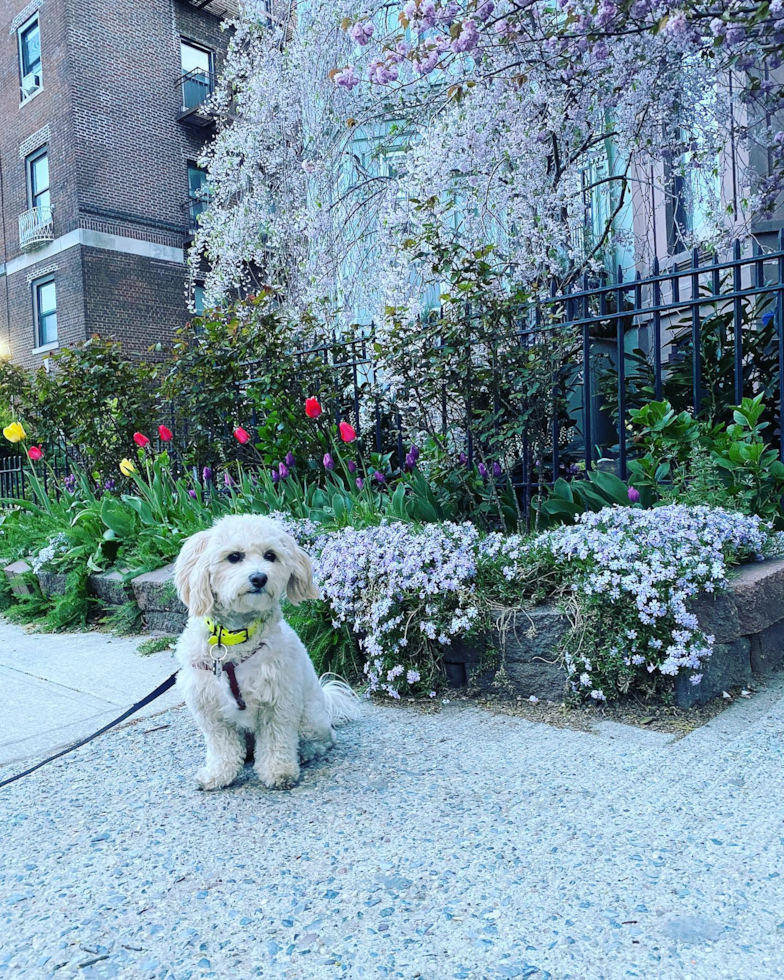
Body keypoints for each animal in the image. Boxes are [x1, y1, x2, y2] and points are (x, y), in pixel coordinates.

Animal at [173, 516, 360, 792]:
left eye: (270, 555)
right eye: (234, 556)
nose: (259, 578)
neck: (235, 638)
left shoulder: (278, 701)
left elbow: (276, 740)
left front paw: (278, 772)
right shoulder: (210, 708)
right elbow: (222, 747)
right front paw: (218, 774)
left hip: (310, 720)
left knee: (321, 740)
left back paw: (304, 753)